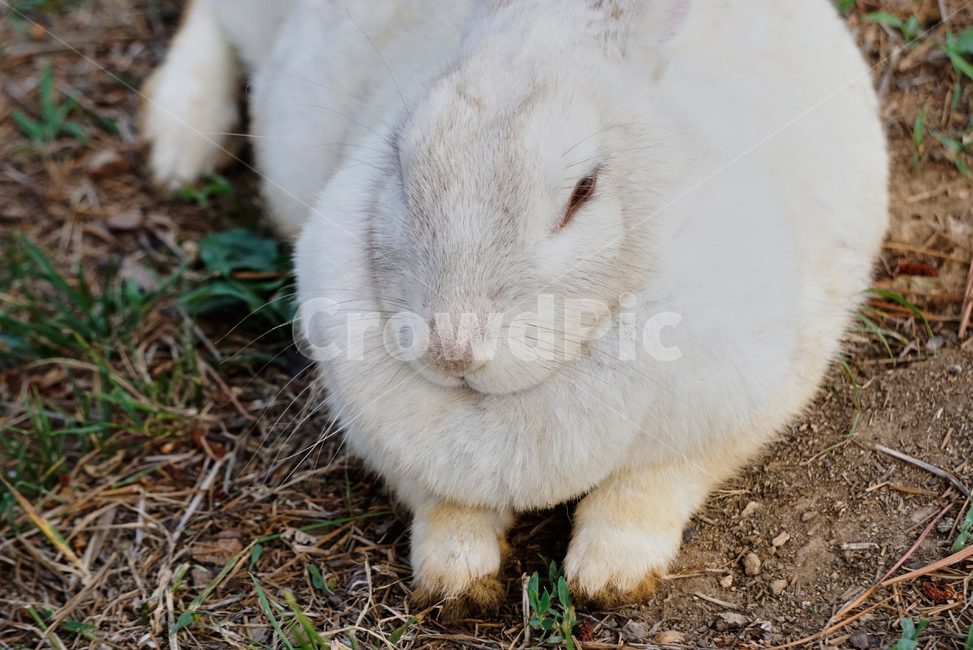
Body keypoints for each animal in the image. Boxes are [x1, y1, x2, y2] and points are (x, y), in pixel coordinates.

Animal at [143, 0, 889, 620]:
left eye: (582, 193)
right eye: (400, 166)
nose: (452, 349)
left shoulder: (729, 423)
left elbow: (645, 490)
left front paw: (609, 579)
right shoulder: (394, 451)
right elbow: (444, 509)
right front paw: (456, 585)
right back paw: (175, 146)